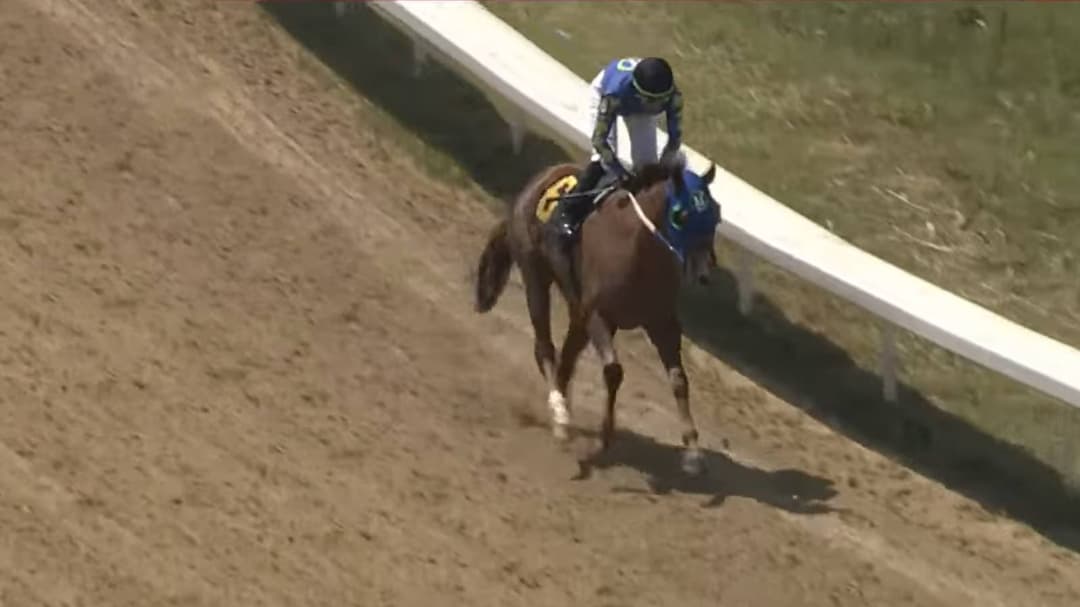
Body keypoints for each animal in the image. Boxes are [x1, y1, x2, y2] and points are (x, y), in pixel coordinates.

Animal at [472, 155, 722, 475]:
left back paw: (563, 411)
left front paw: (692, 453)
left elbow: (679, 379)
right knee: (545, 349)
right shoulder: (599, 316)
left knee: (567, 360)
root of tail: (535, 182)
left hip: (576, 310)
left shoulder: (661, 322)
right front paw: (604, 435)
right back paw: (560, 417)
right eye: (681, 215)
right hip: (535, 274)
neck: (638, 249)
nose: (705, 272)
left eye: (715, 214)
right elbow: (614, 371)